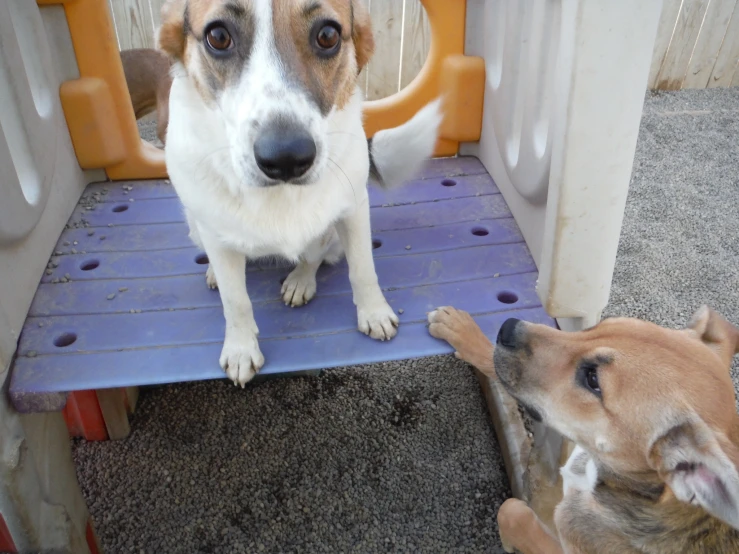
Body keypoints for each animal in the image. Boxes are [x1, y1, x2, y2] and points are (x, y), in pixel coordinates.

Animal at [157, 0, 442, 386]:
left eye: (328, 35)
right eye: (218, 36)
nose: (286, 158)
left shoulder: (354, 210)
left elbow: (363, 269)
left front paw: (374, 312)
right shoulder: (213, 232)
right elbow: (236, 301)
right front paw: (241, 347)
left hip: (330, 236)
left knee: (313, 256)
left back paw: (300, 281)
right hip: (194, 226)